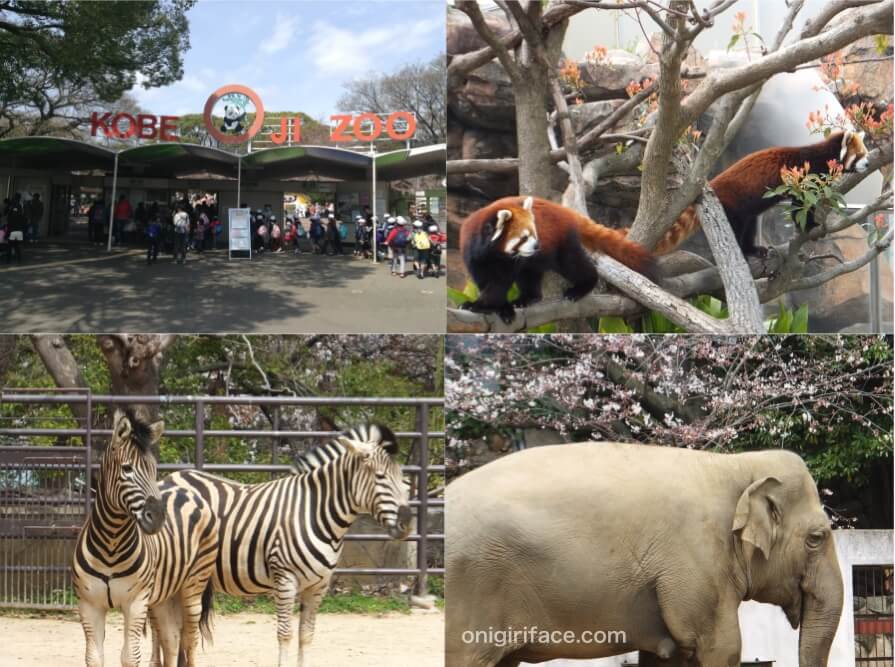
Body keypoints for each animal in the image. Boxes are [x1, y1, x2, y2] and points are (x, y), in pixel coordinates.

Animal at [72, 410, 220, 664]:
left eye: (153, 469)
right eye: (127, 469)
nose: (158, 517)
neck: (111, 543)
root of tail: (189, 491)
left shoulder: (136, 602)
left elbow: (130, 657)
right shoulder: (89, 605)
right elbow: (94, 657)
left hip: (193, 586)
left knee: (190, 642)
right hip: (164, 595)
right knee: (171, 640)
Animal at [155, 426, 416, 664]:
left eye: (402, 477)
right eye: (380, 476)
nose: (407, 523)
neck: (315, 512)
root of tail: (168, 477)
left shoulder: (319, 585)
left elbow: (306, 635)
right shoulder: (285, 579)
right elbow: (285, 634)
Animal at [448, 444, 848, 667]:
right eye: (816, 538)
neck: (735, 465)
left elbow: (667, 655)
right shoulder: (697, 560)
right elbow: (722, 648)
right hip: (472, 590)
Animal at [462, 194, 656, 322]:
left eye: (534, 234)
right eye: (524, 237)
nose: (536, 246)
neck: (493, 254)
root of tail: (564, 210)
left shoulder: (508, 262)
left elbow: (499, 284)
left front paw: (480, 306)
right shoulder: (474, 256)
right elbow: (484, 281)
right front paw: (496, 307)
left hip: (562, 241)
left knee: (573, 265)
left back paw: (581, 287)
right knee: (529, 273)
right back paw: (528, 298)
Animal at [656, 130, 872, 256]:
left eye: (866, 153)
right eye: (860, 155)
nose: (869, 163)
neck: (824, 155)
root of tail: (714, 184)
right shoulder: (804, 176)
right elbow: (799, 204)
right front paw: (808, 226)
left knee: (750, 224)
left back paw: (752, 249)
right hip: (731, 203)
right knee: (736, 226)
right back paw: (742, 252)